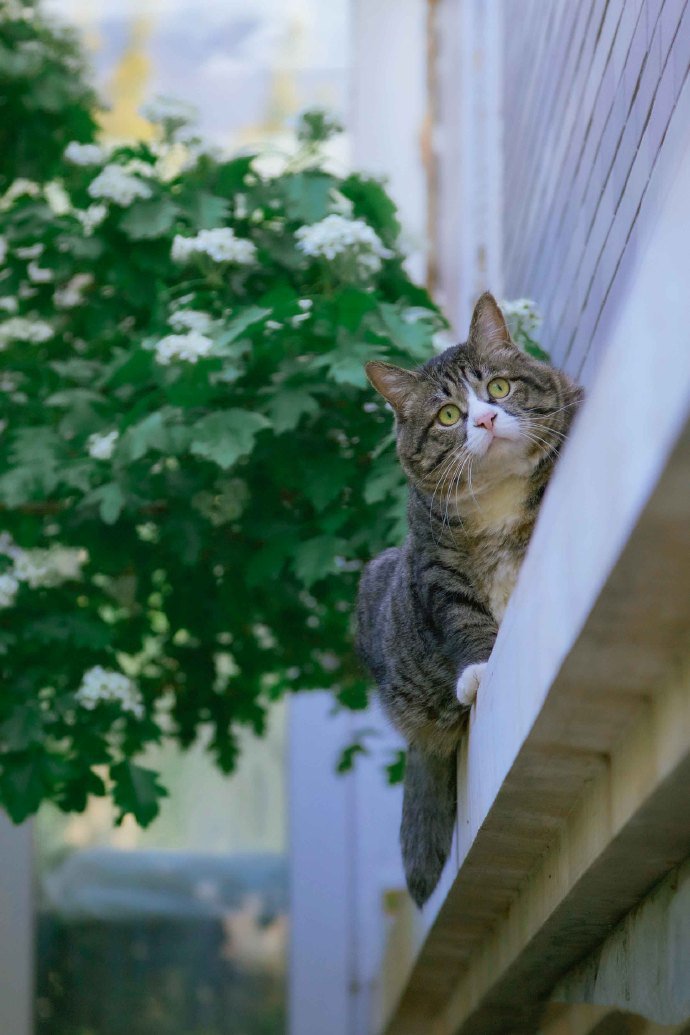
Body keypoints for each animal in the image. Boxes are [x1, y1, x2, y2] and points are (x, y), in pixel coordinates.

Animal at [355, 289, 583, 906]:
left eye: (498, 388)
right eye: (448, 415)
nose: (483, 417)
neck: (498, 495)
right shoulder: (437, 567)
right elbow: (465, 619)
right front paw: (481, 669)